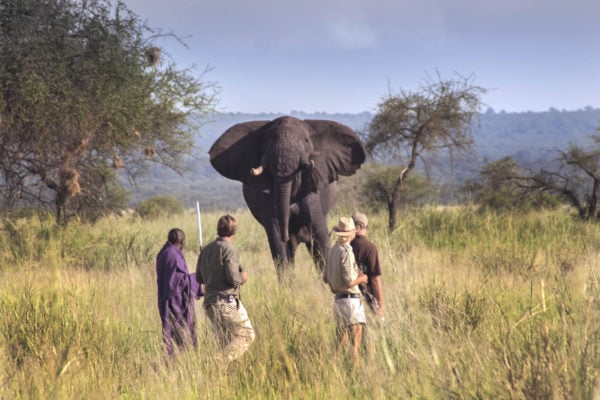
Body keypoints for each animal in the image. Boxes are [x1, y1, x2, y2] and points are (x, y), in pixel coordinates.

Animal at [209, 115, 368, 278]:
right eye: (266, 142)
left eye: (306, 140)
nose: (286, 235)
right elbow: (277, 240)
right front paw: (287, 284)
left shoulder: (311, 190)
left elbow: (319, 234)